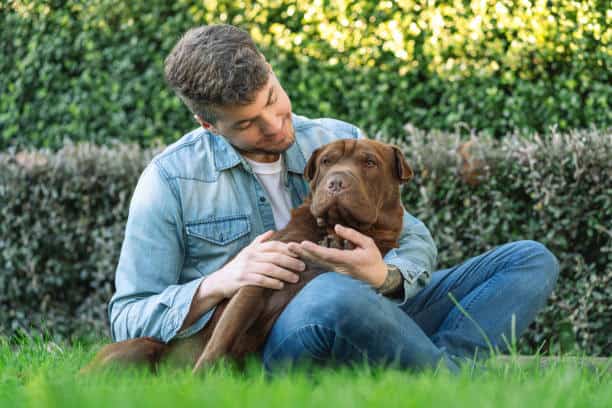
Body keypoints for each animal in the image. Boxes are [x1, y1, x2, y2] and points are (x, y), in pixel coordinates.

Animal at [83, 139, 414, 374]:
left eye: (369, 162)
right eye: (326, 162)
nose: (335, 182)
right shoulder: (259, 277)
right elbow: (222, 336)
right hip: (136, 349)